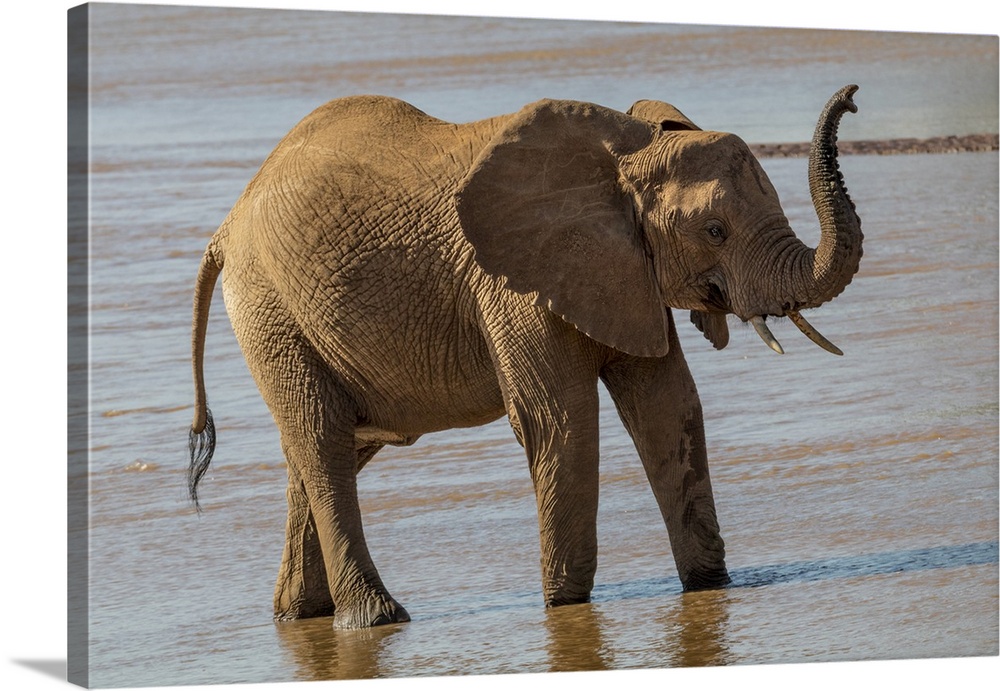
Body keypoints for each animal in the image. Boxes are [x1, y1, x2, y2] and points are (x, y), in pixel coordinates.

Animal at [191, 85, 864, 628]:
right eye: (715, 231)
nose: (853, 99)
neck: (626, 151)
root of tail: (227, 225)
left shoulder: (627, 272)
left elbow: (668, 409)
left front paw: (710, 587)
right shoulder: (512, 282)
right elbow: (559, 421)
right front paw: (564, 606)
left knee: (327, 450)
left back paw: (301, 615)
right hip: (270, 309)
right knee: (323, 441)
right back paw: (377, 619)